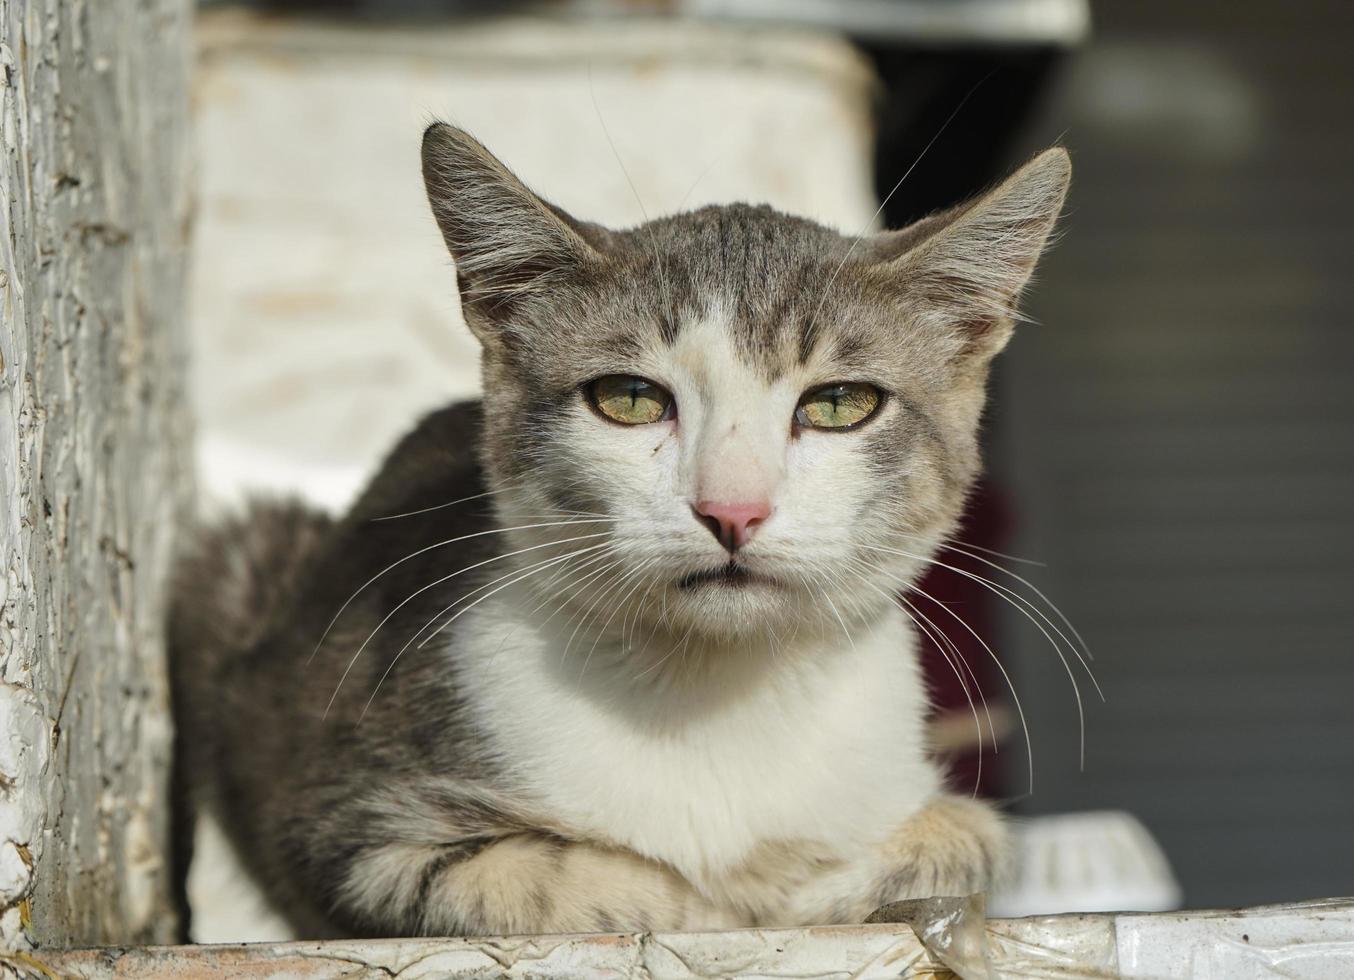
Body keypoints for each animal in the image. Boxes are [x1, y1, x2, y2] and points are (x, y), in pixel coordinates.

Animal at [169, 124, 1066, 942]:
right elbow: (529, 881)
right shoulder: (341, 824)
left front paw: (813, 882)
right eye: (629, 399)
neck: (712, 694)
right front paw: (712, 898)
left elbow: (969, 839)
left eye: (840, 404)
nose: (732, 509)